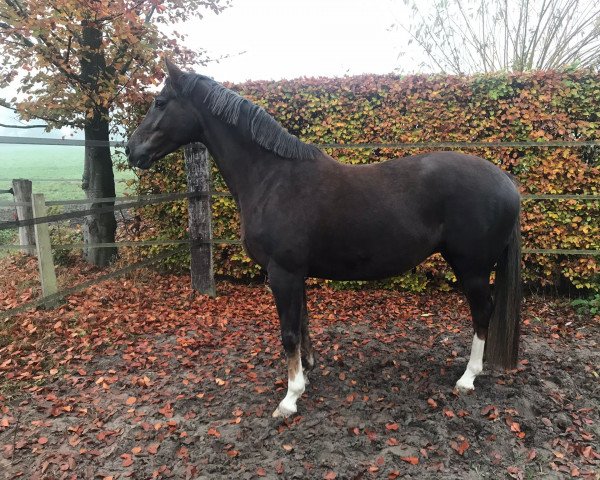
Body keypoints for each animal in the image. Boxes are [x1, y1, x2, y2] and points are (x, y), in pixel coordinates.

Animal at [126, 60, 520, 418]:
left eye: (160, 102)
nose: (132, 150)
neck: (273, 178)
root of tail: (506, 180)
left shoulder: (282, 273)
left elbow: (288, 333)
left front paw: (290, 399)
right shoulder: (294, 274)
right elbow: (302, 325)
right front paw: (307, 373)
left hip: (472, 267)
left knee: (482, 312)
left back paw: (468, 378)